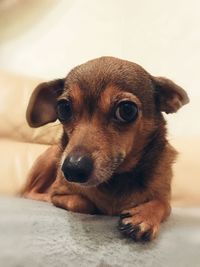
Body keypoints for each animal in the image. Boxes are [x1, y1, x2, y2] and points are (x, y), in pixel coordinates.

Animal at [22, 57, 189, 243]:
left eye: (127, 110)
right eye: (63, 108)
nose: (73, 170)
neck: (116, 178)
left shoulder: (164, 195)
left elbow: (164, 205)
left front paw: (143, 217)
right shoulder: (60, 193)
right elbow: (83, 203)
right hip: (51, 157)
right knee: (28, 192)